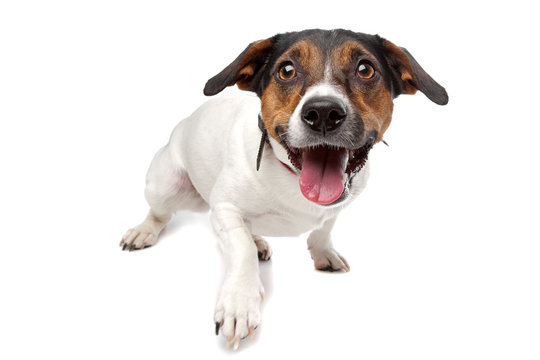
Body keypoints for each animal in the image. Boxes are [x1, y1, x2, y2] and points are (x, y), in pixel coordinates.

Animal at [120, 29, 450, 350]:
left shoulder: (337, 206)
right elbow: (240, 248)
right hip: (165, 184)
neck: (292, 175)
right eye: (287, 70)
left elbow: (323, 228)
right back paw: (144, 231)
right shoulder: (225, 207)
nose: (324, 112)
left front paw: (323, 252)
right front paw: (239, 304)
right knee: (160, 213)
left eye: (365, 69)